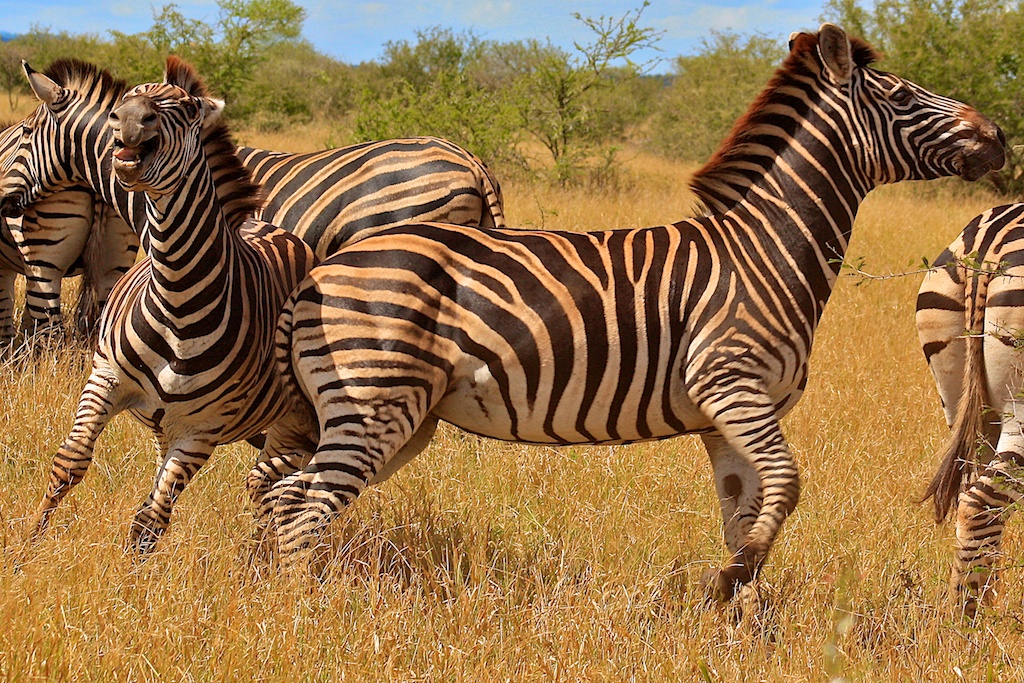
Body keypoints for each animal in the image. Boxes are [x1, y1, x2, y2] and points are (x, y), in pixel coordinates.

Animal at [20, 56, 315, 552]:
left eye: (190, 109)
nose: (129, 119)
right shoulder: (105, 381)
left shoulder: (201, 431)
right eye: (125, 100)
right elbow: (69, 464)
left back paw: (267, 555)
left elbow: (150, 522)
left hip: (298, 422)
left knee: (280, 488)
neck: (178, 298)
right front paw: (27, 547)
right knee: (267, 487)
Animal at [258, 24, 1007, 593]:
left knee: (285, 491)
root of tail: (318, 271)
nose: (999, 135)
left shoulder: (727, 416)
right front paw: (732, 579)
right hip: (373, 403)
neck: (765, 248)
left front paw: (742, 619)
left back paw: (274, 591)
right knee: (304, 507)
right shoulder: (729, 382)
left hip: (394, 416)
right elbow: (789, 484)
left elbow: (747, 509)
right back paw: (302, 616)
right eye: (903, 95)